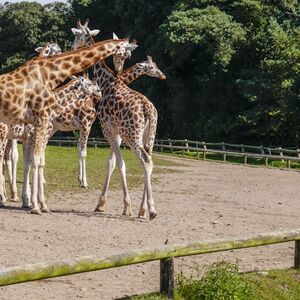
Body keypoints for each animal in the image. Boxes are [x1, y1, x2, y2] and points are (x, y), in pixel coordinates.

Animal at [0, 36, 137, 213]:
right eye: (124, 52)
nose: (118, 70)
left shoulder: (30, 135)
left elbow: (31, 161)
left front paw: (28, 200)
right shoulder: (41, 128)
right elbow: (36, 161)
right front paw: (36, 204)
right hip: (5, 134)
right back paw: (6, 197)